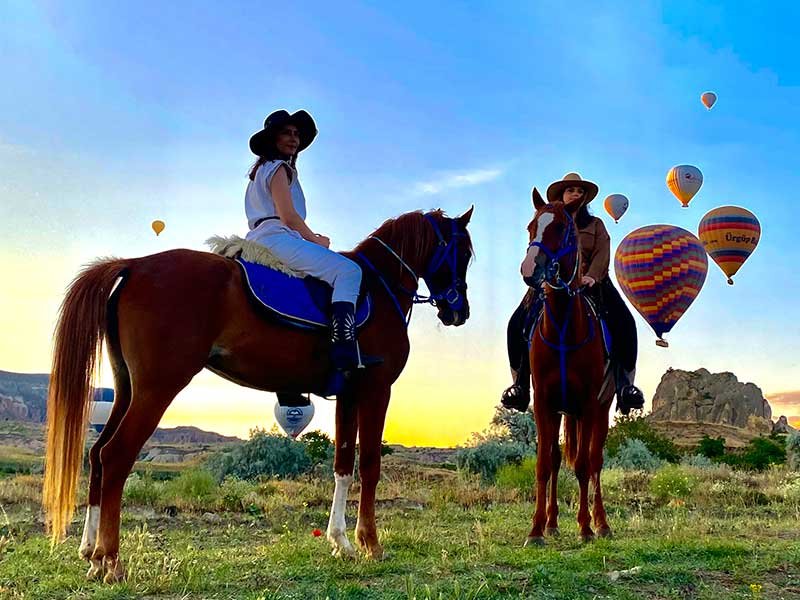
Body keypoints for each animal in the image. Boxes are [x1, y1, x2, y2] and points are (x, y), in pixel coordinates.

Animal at [43, 207, 472, 580]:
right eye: (464, 252)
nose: (459, 311)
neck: (378, 286)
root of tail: (135, 264)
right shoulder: (376, 390)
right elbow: (369, 465)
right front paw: (370, 543)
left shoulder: (348, 395)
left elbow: (342, 466)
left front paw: (341, 542)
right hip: (157, 388)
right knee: (116, 456)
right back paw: (111, 561)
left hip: (127, 388)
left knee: (98, 455)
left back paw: (91, 552)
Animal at [520, 190, 612, 548]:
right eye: (531, 226)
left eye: (561, 228)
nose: (530, 269)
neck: (562, 327)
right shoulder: (544, 403)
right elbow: (545, 464)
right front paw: (535, 530)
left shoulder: (587, 404)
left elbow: (585, 466)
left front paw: (585, 528)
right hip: (563, 411)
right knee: (559, 461)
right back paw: (552, 523)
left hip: (601, 409)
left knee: (596, 461)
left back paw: (602, 524)